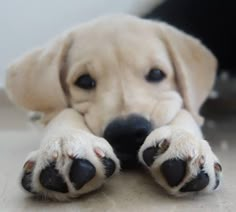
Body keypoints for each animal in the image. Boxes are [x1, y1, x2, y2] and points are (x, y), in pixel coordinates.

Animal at [6, 14, 223, 200]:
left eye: (156, 74)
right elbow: (64, 111)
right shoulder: (59, 107)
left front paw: (183, 139)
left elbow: (185, 111)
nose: (127, 133)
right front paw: (66, 141)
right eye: (84, 81)